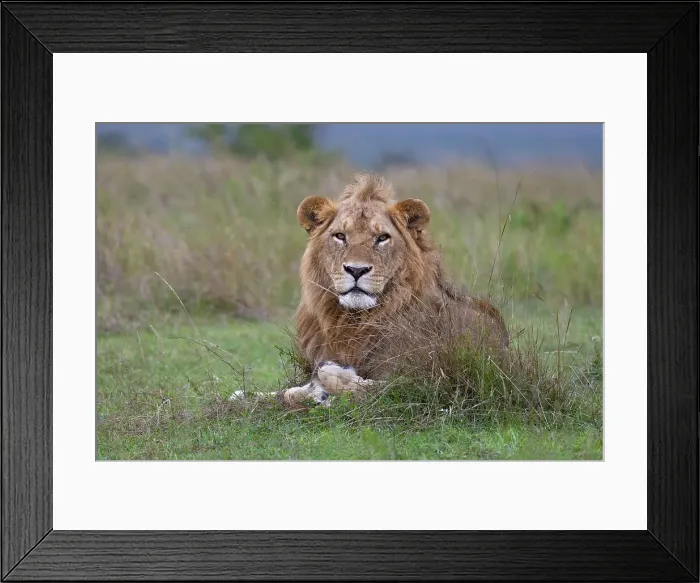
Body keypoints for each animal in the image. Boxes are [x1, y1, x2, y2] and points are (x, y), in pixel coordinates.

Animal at [270, 172, 511, 411]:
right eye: (340, 236)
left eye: (382, 238)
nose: (356, 270)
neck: (352, 321)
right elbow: (283, 393)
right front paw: (308, 391)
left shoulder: (423, 383)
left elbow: (336, 377)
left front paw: (324, 386)